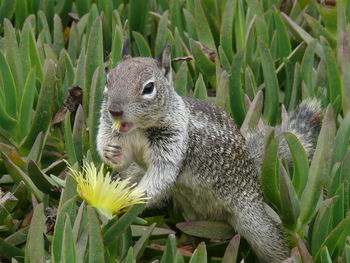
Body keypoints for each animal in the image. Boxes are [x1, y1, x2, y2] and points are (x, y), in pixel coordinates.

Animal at [97, 44, 322, 262]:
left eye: (149, 88)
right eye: (108, 80)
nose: (114, 111)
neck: (139, 129)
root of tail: (253, 174)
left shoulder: (175, 143)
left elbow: (162, 175)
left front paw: (130, 198)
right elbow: (120, 156)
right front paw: (110, 152)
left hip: (253, 219)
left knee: (271, 242)